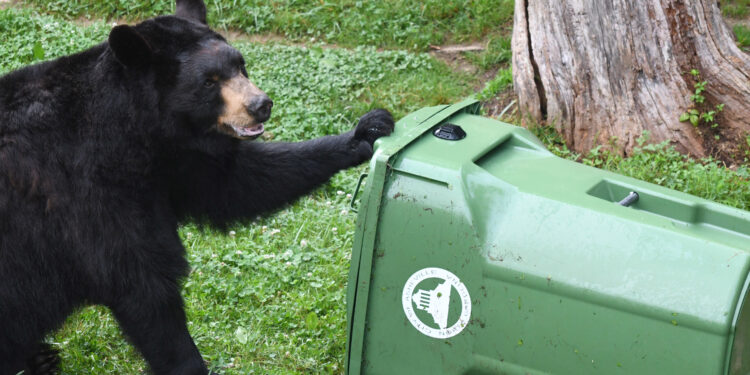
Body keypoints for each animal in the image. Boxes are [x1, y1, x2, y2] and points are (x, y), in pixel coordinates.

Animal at [0, 0, 396, 375]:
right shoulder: (85, 193)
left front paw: (366, 131)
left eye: (241, 66)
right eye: (209, 80)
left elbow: (238, 183)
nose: (260, 105)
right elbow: (140, 282)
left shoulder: (172, 165)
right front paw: (188, 362)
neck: (131, 132)